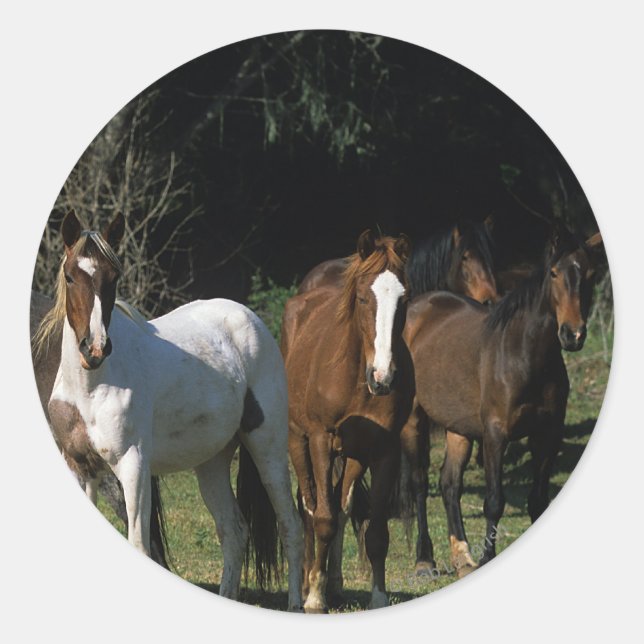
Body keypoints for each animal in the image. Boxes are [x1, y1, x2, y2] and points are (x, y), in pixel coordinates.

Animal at [282, 230, 414, 612]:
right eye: (362, 297)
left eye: (404, 299)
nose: (383, 377)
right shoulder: (321, 439)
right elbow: (322, 518)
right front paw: (314, 597)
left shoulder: (384, 450)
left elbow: (376, 532)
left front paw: (379, 597)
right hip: (298, 441)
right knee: (309, 507)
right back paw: (309, 582)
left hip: (353, 455)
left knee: (341, 507)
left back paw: (334, 584)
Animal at [402, 225, 603, 577]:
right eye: (553, 273)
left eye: (590, 274)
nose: (573, 335)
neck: (524, 354)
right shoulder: (496, 435)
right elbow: (494, 502)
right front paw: (487, 558)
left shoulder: (547, 436)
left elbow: (538, 500)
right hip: (415, 419)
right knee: (419, 484)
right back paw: (425, 560)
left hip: (459, 427)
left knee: (449, 483)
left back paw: (462, 557)